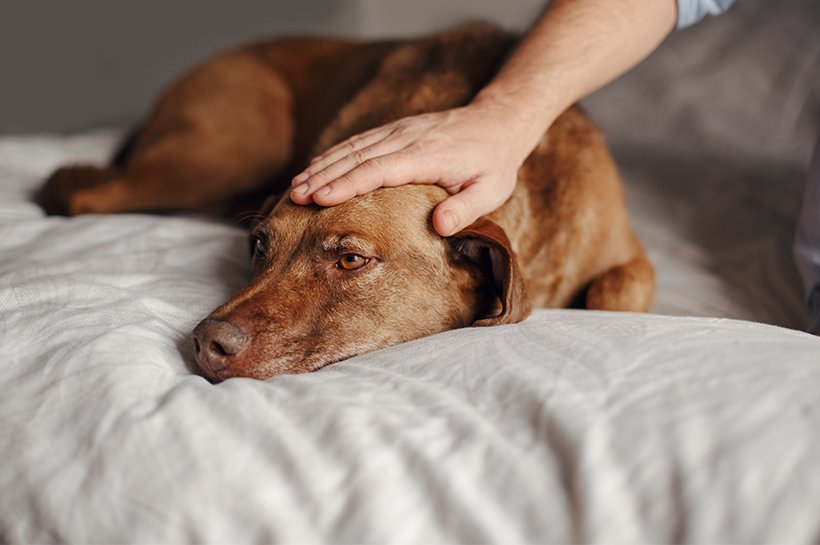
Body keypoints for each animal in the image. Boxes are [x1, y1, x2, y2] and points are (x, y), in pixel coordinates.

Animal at [40, 21, 652, 378]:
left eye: (352, 260)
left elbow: (618, 291)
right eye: (258, 245)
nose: (206, 342)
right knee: (85, 192)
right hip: (227, 150)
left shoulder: (629, 256)